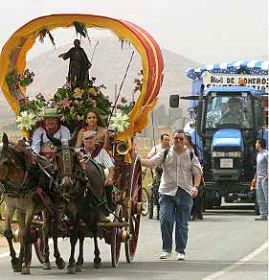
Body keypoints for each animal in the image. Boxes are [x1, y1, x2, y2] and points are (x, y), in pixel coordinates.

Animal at [0, 133, 64, 274]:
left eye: (5, 162)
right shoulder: (10, 206)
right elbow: (9, 233)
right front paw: (16, 261)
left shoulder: (31, 207)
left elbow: (25, 235)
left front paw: (23, 265)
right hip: (23, 210)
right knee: (40, 231)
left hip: (51, 207)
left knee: (50, 231)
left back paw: (55, 260)